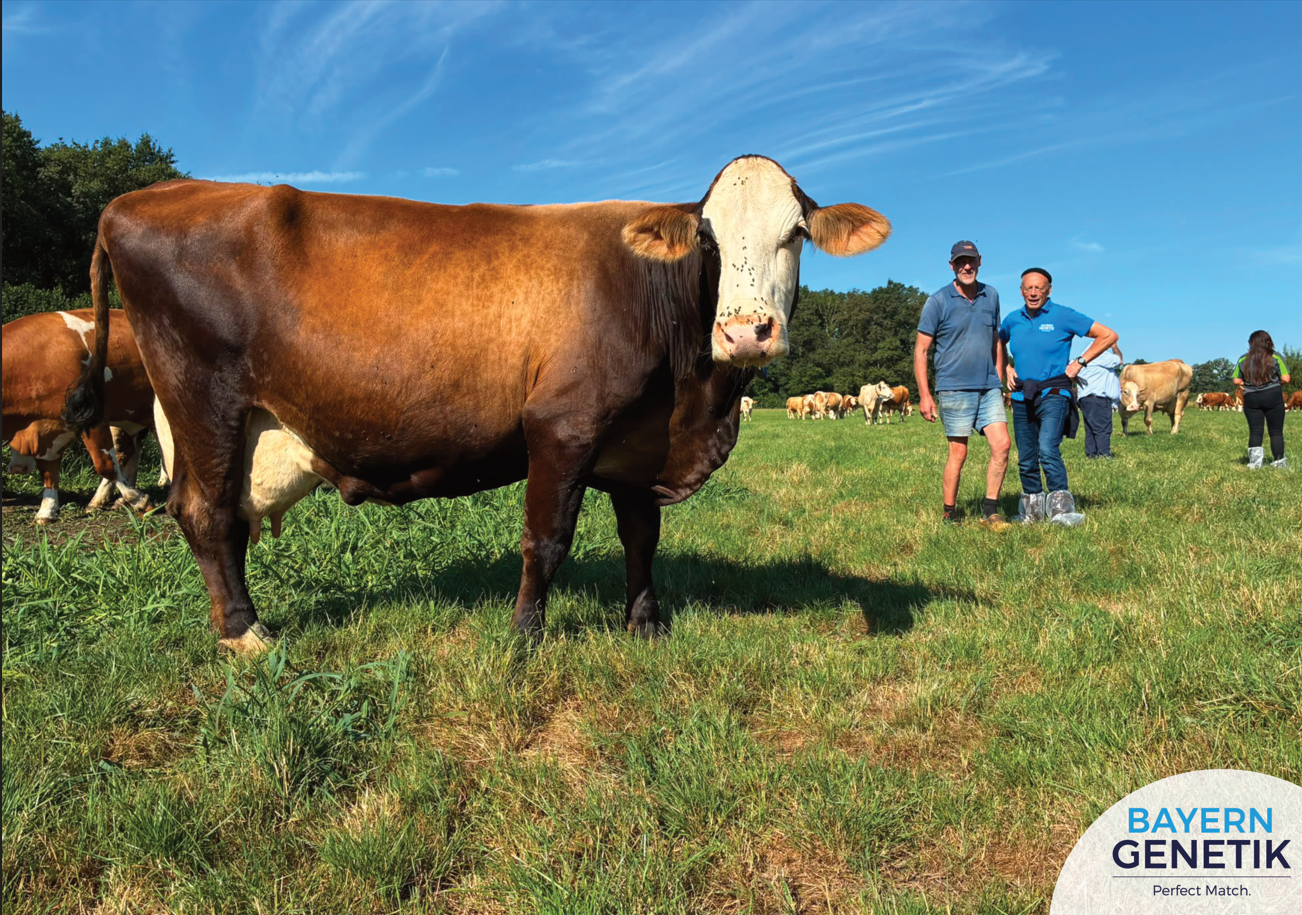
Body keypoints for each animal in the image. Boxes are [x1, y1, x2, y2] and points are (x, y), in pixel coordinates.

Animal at [4, 309, 157, 523]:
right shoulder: (49, 427)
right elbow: (48, 468)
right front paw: (47, 510)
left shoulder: (94, 418)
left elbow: (105, 464)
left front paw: (139, 500)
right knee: (131, 450)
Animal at [63, 157, 890, 652]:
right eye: (709, 240)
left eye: (796, 234)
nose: (746, 330)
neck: (692, 405)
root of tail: (139, 197)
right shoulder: (561, 424)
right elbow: (545, 541)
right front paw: (525, 637)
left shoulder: (637, 443)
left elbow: (641, 539)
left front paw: (645, 623)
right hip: (203, 400)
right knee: (207, 514)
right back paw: (247, 633)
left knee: (218, 516)